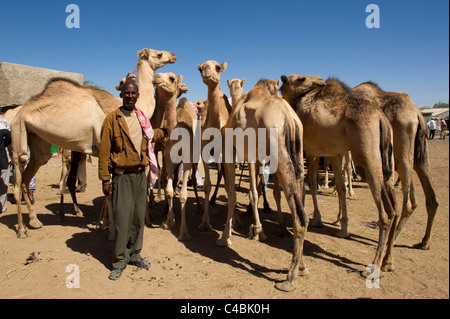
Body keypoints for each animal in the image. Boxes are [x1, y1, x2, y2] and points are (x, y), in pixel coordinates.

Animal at [9, 48, 177, 239]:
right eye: (158, 54)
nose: (173, 56)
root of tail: (19, 110)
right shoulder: (107, 149)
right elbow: (110, 191)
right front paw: (111, 231)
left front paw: (105, 224)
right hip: (18, 131)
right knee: (18, 175)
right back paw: (22, 229)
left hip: (38, 142)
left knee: (29, 176)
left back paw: (35, 221)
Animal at [216, 80, 308, 292]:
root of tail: (290, 118)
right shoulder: (254, 156)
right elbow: (254, 190)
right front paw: (254, 230)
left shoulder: (230, 150)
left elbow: (233, 195)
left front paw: (225, 238)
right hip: (297, 153)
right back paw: (301, 267)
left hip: (279, 151)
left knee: (299, 216)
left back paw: (289, 280)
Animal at [280, 74, 400, 276]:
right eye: (301, 78)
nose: (320, 80)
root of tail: (381, 118)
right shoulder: (334, 153)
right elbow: (339, 187)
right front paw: (342, 227)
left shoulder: (308, 150)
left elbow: (308, 184)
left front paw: (315, 219)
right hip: (386, 157)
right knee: (395, 206)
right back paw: (387, 262)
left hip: (366, 156)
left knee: (386, 212)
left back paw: (373, 266)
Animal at [354, 82, 438, 250]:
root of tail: (418, 114)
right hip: (418, 153)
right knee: (428, 197)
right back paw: (424, 242)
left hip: (401, 148)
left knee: (408, 203)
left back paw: (390, 243)